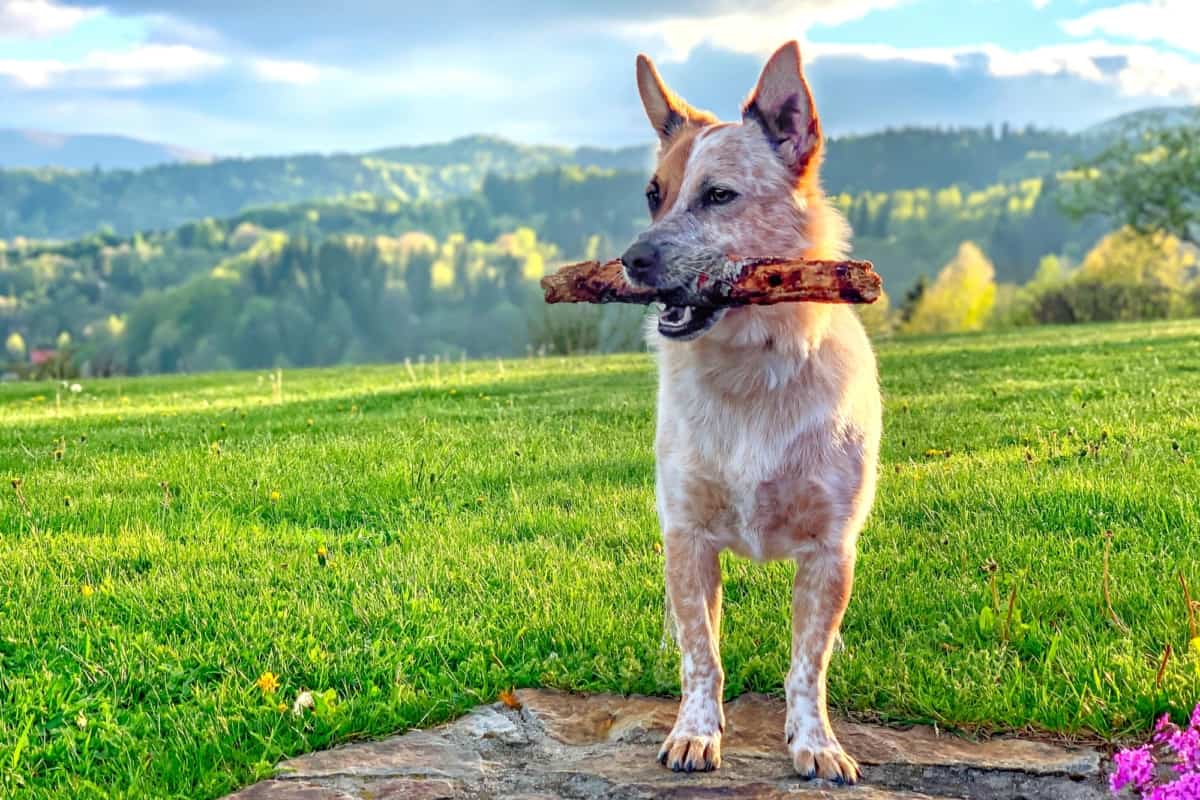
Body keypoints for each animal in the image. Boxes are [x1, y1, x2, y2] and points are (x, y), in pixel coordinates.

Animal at [619, 40, 883, 786]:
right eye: (653, 195)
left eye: (718, 195)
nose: (631, 260)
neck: (753, 370)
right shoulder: (686, 536)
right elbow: (700, 655)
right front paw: (694, 734)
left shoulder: (830, 548)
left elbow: (807, 665)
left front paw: (816, 744)